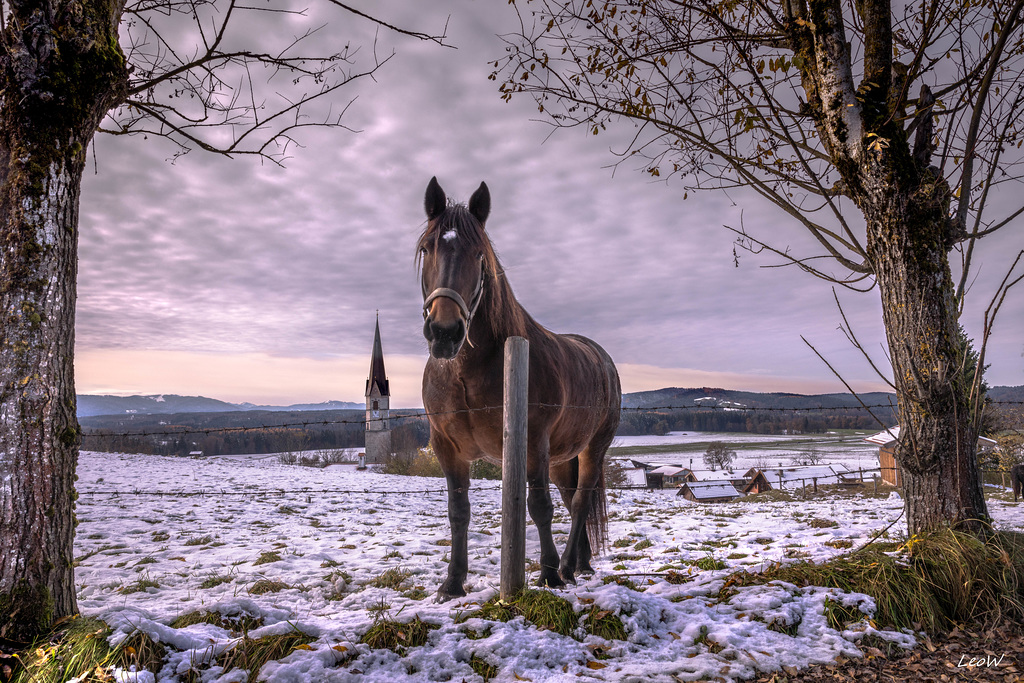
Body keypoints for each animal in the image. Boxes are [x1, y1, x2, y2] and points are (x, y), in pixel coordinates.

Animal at [417, 178, 622, 602]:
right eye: (428, 248)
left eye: (479, 253)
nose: (444, 332)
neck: (469, 372)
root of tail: (602, 357)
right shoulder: (447, 448)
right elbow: (458, 511)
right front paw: (452, 583)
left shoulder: (532, 443)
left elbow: (539, 505)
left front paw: (548, 576)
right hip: (561, 458)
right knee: (571, 499)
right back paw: (581, 563)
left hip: (592, 448)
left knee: (580, 501)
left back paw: (566, 567)